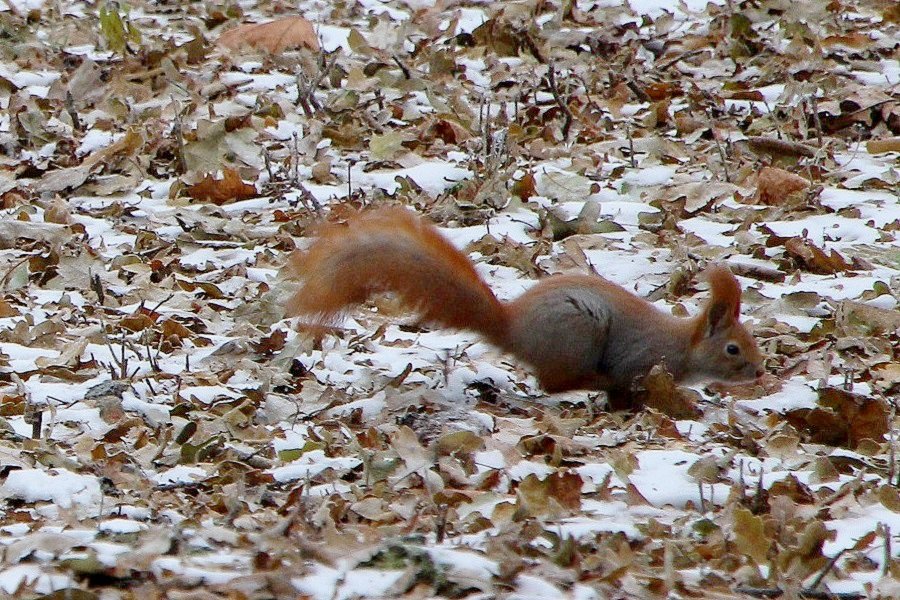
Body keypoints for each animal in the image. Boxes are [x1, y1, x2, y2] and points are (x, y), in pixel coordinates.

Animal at [284, 209, 764, 396]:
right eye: (732, 348)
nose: (760, 372)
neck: (681, 344)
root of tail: (512, 328)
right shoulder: (641, 356)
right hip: (577, 332)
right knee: (554, 382)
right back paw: (594, 381)